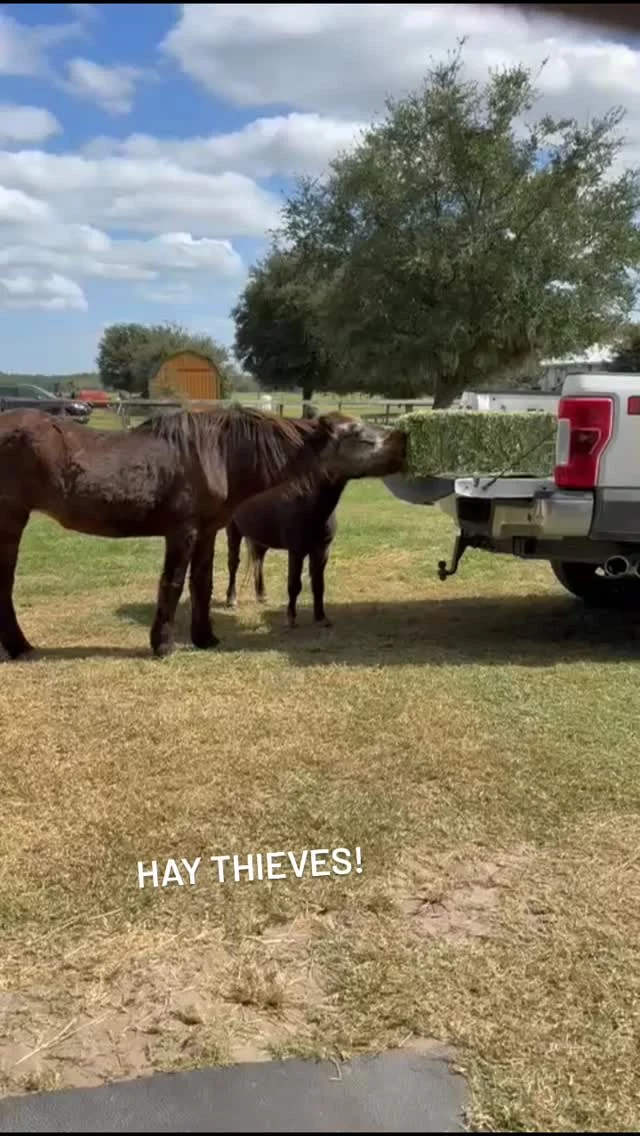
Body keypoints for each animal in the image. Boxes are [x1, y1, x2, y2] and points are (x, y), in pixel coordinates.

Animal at [224, 421, 407, 628]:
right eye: (356, 432)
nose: (401, 439)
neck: (306, 500)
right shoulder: (296, 550)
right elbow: (294, 584)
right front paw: (291, 618)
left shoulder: (321, 550)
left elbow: (319, 585)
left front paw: (321, 617)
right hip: (233, 531)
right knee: (233, 563)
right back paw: (231, 599)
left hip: (260, 536)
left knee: (258, 561)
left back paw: (262, 595)